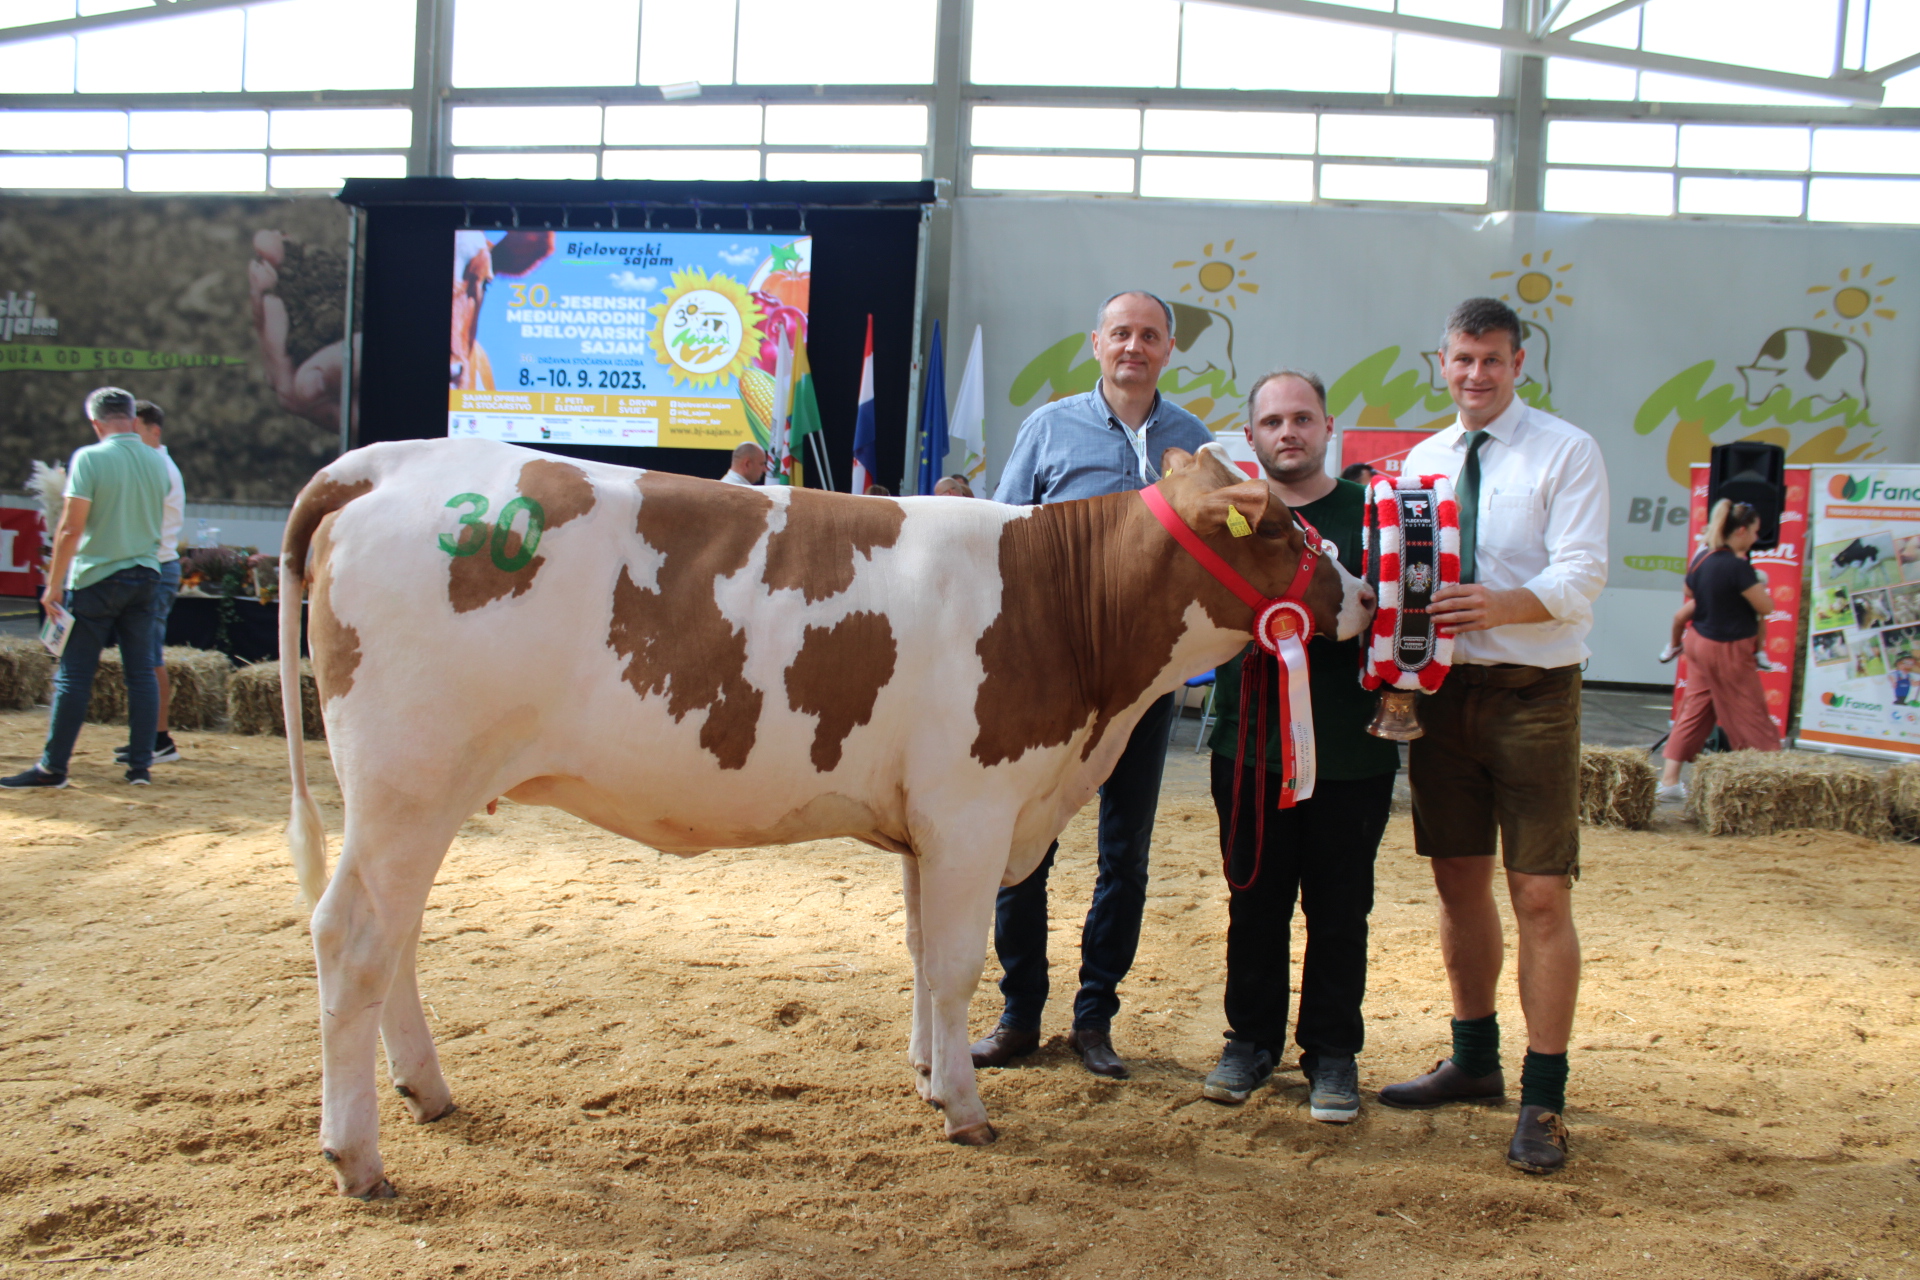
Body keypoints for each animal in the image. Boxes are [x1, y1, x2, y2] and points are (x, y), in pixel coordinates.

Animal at [280, 435, 1367, 1197]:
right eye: (1280, 531)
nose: (1362, 594)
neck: (1060, 604)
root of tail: (384, 462)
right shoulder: (973, 809)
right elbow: (958, 962)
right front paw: (965, 1108)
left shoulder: (926, 824)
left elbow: (923, 954)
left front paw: (928, 1074)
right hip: (409, 779)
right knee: (352, 938)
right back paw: (357, 1155)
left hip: (413, 797)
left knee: (394, 939)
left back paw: (427, 1091)